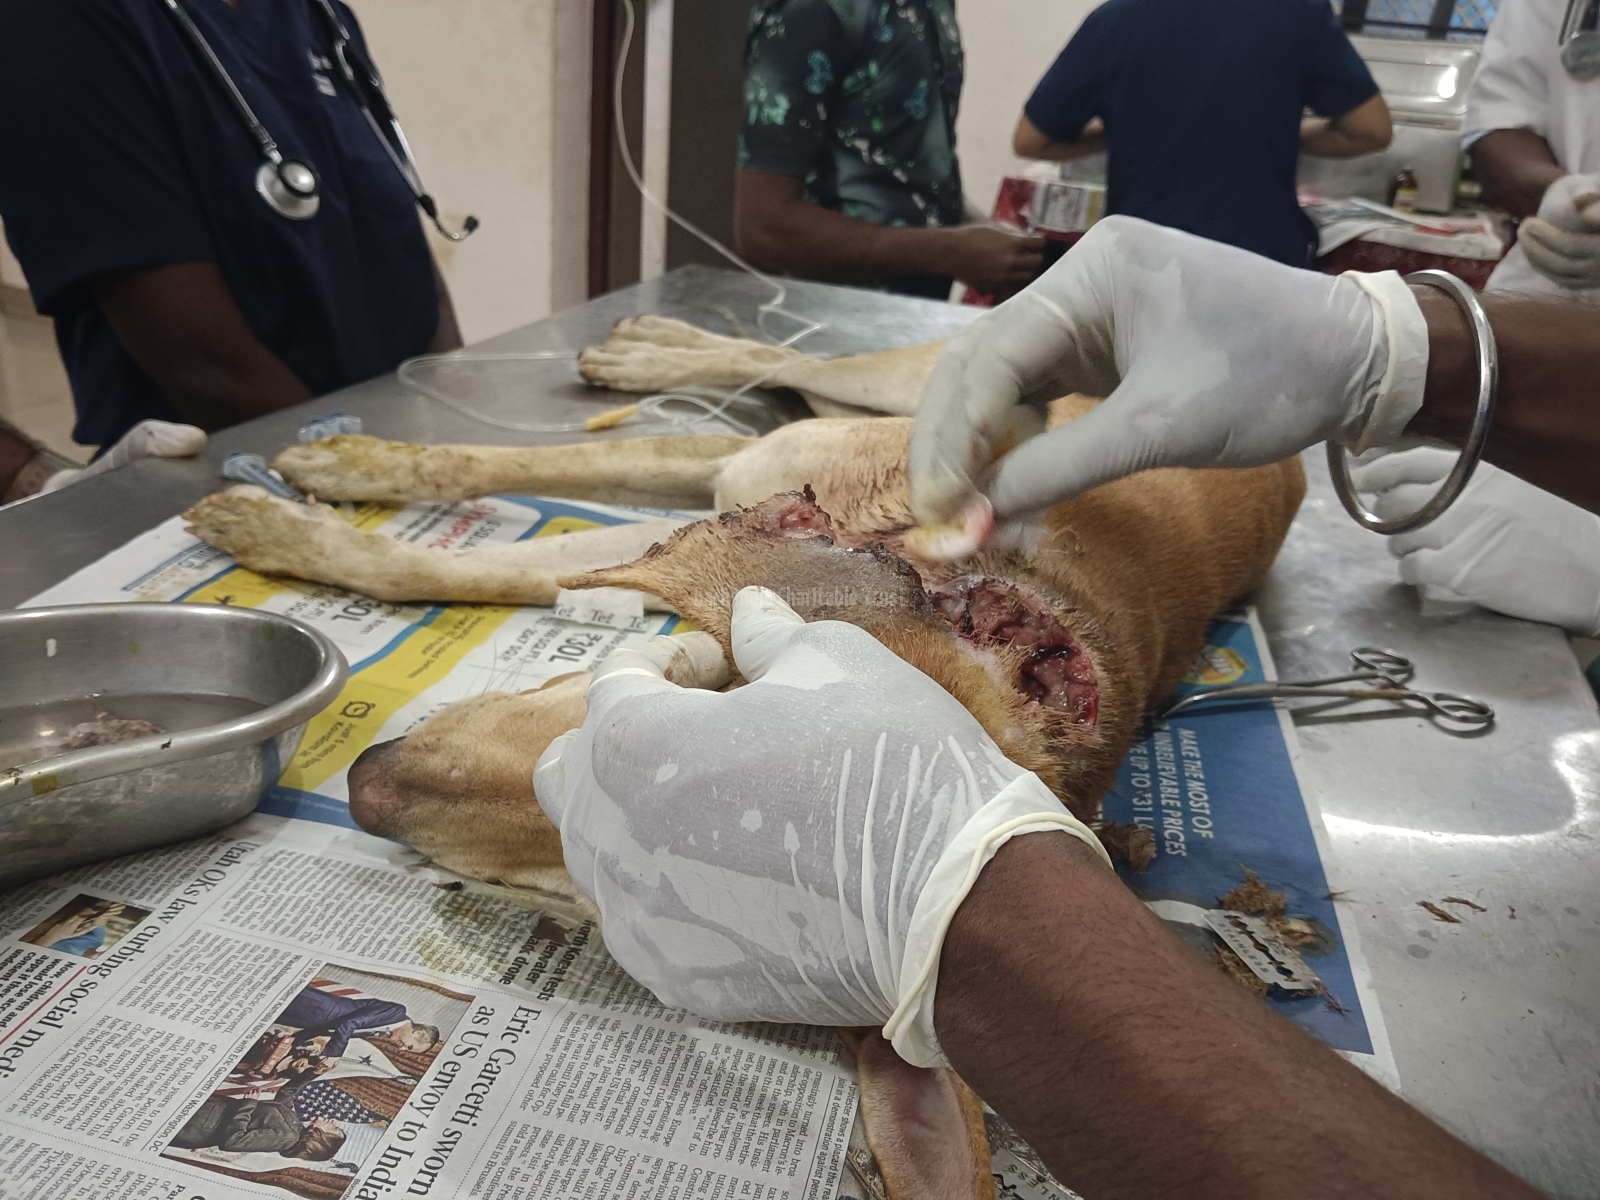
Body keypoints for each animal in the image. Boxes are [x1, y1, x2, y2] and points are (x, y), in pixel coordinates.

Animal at [182, 317, 1306, 1200]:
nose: (365, 786)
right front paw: (321, 494)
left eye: (614, 901)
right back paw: (648, 346)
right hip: (928, 372)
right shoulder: (732, 487)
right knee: (791, 360)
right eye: (691, 687)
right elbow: (479, 539)